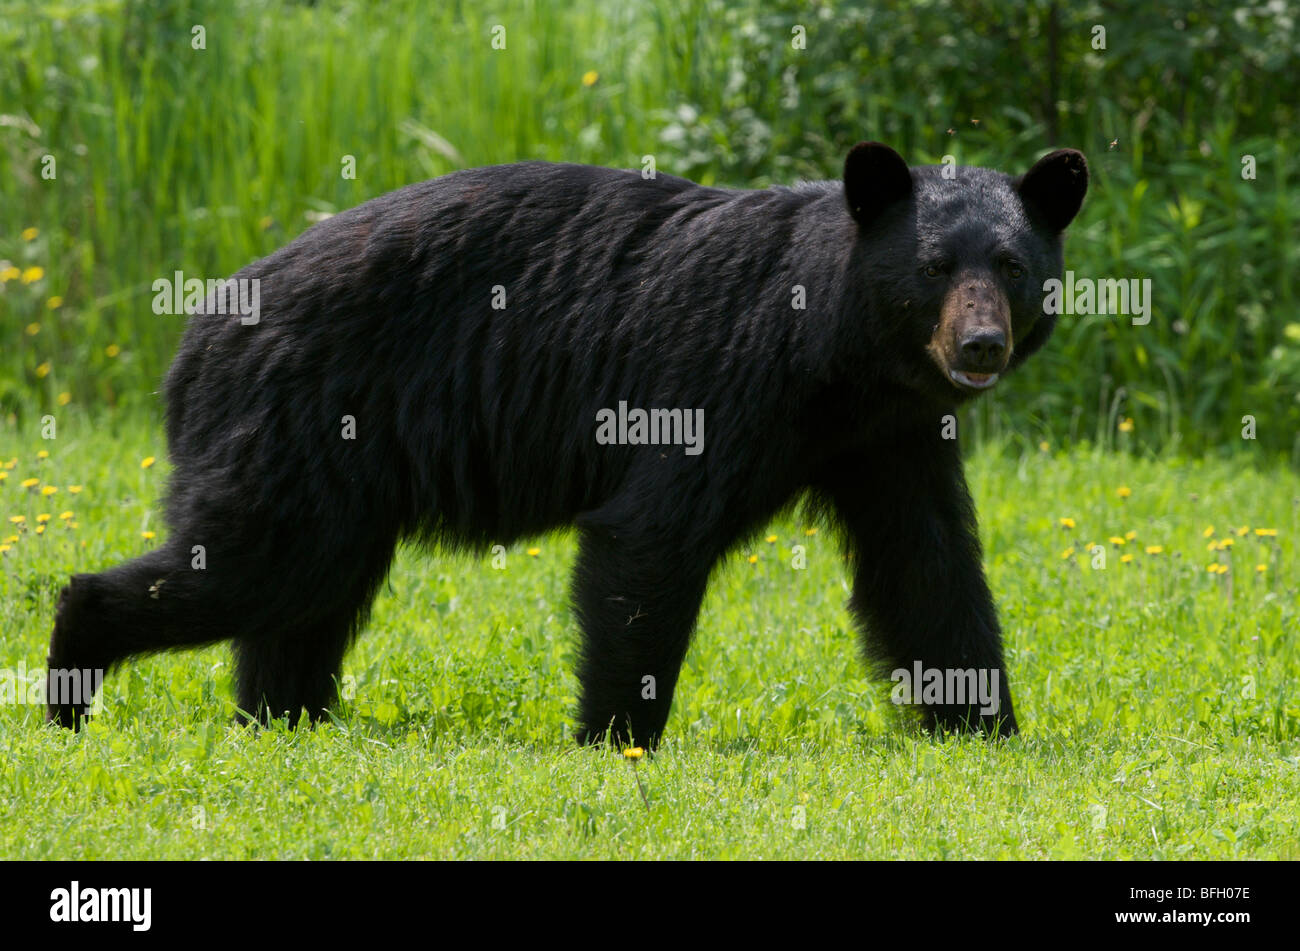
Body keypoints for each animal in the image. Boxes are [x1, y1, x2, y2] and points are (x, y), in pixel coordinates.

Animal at [46, 142, 1088, 746]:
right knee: (250, 566)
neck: (837, 356)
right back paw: (71, 678)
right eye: (934, 267)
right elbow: (651, 536)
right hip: (296, 424)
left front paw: (987, 725)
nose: (980, 346)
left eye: (1012, 265)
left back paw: (285, 715)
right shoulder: (714, 378)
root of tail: (197, 328)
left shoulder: (888, 434)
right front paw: (616, 737)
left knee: (300, 597)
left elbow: (926, 567)